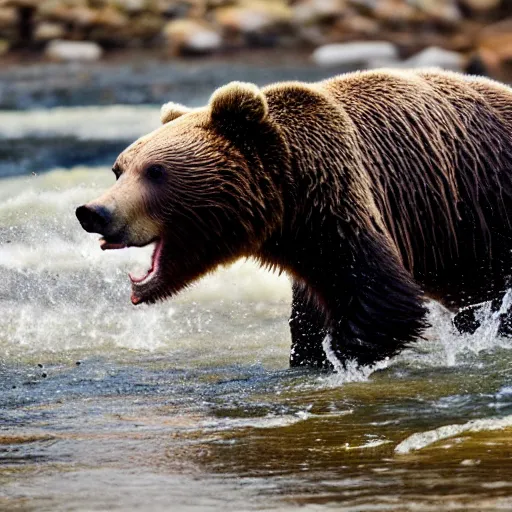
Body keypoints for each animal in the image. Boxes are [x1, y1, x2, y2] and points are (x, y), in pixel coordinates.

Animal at [75, 70, 512, 370]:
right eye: (119, 169)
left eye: (155, 171)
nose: (93, 212)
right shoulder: (313, 243)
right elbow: (311, 317)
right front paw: (311, 353)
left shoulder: (343, 201)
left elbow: (385, 298)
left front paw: (343, 355)